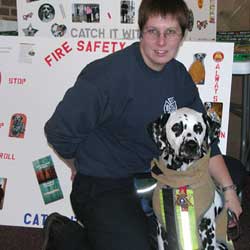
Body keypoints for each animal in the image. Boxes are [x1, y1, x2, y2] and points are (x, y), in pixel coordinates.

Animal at [147, 107, 229, 250]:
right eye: (176, 127)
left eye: (198, 128)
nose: (191, 145)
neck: (182, 179)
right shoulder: (161, 230)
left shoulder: (207, 230)